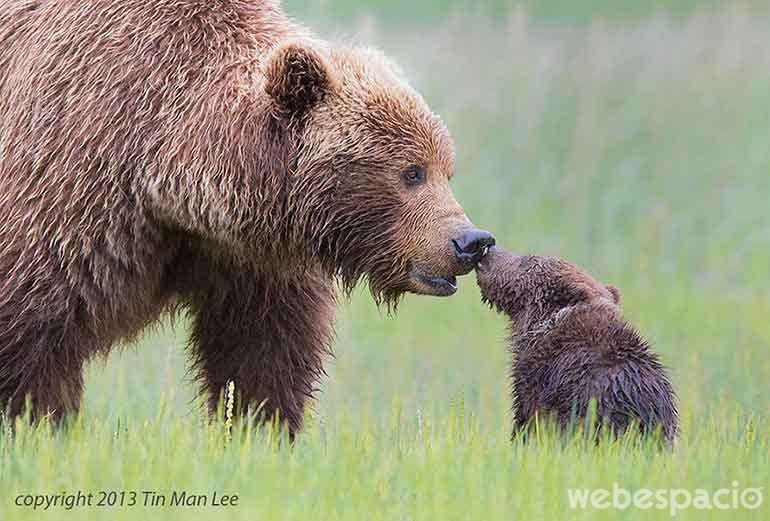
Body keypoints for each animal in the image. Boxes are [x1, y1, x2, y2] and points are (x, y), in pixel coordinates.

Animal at [0, 0, 492, 432]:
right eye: (412, 172)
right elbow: (32, 328)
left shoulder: (249, 257)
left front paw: (259, 429)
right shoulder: (72, 181)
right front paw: (37, 423)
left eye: (446, 169)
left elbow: (262, 350)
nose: (471, 241)